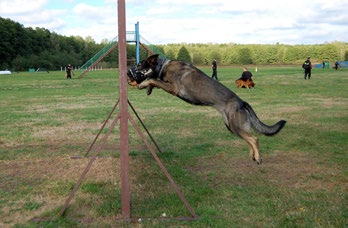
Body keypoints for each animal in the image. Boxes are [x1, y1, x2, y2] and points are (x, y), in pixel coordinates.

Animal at [128, 54, 286, 164]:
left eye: (139, 65)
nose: (128, 73)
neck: (163, 66)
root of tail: (242, 102)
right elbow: (154, 82)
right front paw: (148, 88)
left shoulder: (173, 88)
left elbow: (153, 80)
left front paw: (144, 85)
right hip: (231, 127)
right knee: (249, 138)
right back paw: (252, 155)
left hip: (234, 126)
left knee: (254, 138)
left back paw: (258, 157)